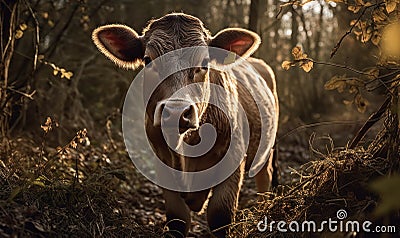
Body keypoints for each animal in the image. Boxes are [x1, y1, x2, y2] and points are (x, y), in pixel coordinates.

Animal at [92, 13, 278, 238]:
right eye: (147, 60)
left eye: (205, 62)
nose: (176, 112)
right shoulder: (163, 163)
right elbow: (178, 219)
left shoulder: (233, 159)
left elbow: (220, 216)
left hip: (265, 148)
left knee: (264, 177)